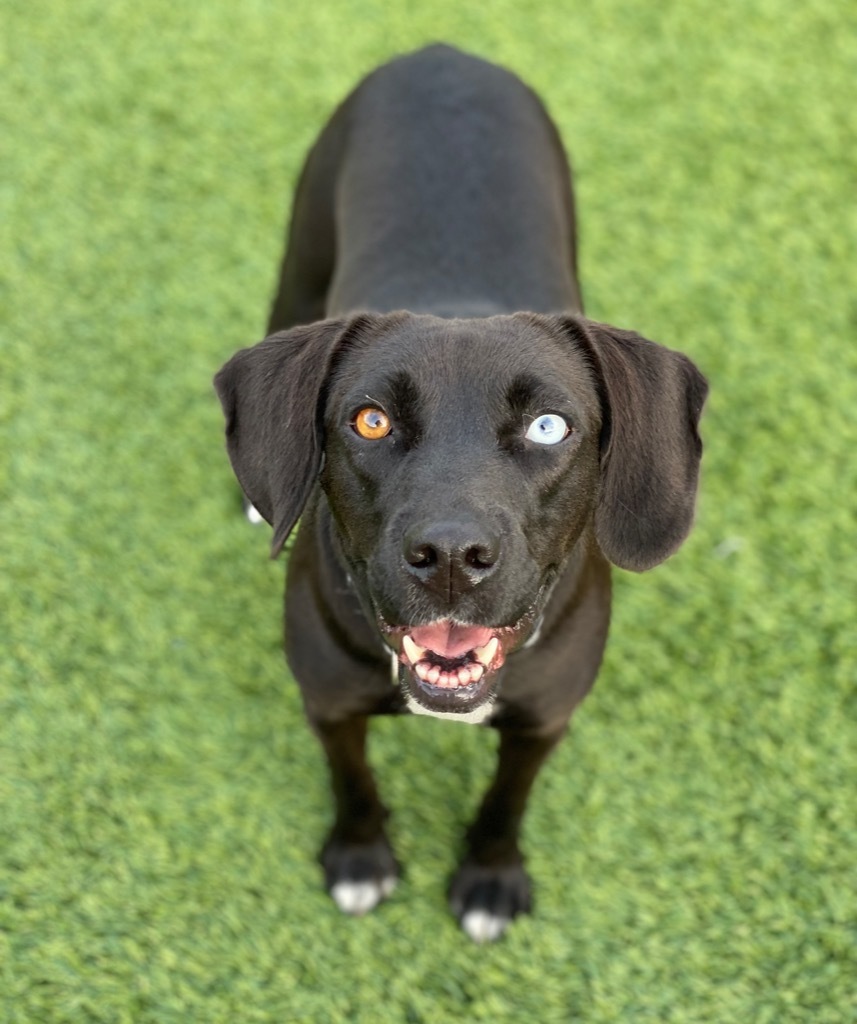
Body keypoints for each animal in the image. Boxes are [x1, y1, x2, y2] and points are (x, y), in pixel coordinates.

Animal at [211, 46, 700, 942]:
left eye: (548, 427)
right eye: (369, 421)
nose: (448, 555)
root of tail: (441, 52)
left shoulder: (544, 718)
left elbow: (507, 801)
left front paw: (489, 878)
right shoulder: (326, 702)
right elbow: (353, 782)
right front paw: (360, 858)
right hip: (298, 260)